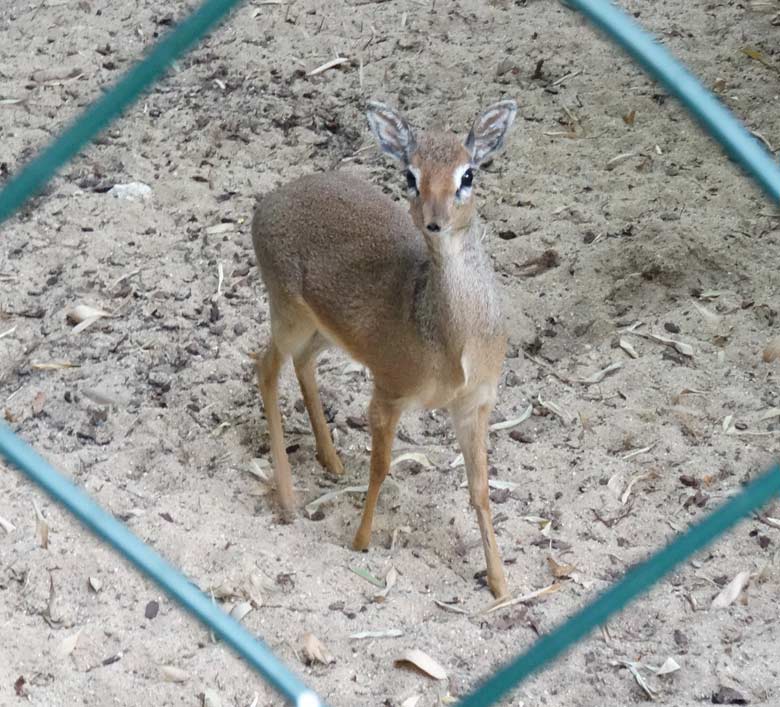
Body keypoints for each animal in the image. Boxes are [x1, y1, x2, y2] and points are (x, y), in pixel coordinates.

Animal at [251, 99, 516, 596]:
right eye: (410, 175)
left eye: (468, 174)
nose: (434, 220)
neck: (453, 345)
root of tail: (265, 204)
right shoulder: (388, 391)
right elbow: (382, 466)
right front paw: (360, 540)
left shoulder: (476, 403)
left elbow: (480, 488)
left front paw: (499, 583)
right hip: (286, 311)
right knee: (266, 367)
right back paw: (291, 498)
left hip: (323, 328)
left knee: (301, 362)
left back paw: (332, 460)